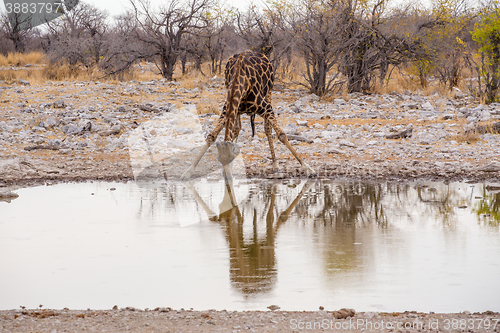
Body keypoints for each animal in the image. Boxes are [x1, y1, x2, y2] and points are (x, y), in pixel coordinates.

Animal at [179, 50, 316, 179]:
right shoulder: (227, 109)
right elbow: (211, 136)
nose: (227, 178)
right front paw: (187, 172)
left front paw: (308, 168)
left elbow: (281, 135)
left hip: (269, 92)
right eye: (220, 160)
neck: (239, 80)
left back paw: (276, 166)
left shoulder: (266, 107)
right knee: (237, 128)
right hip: (237, 110)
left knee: (267, 129)